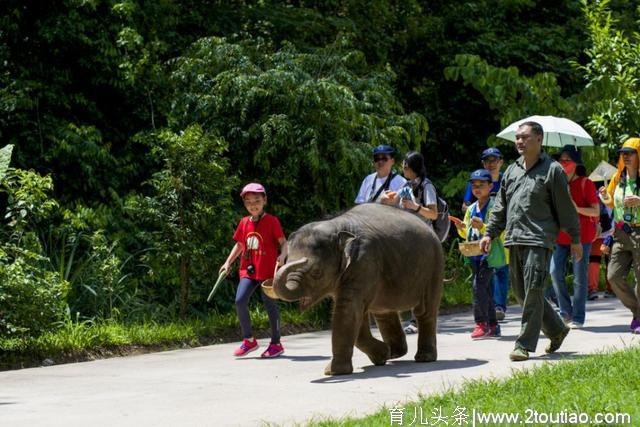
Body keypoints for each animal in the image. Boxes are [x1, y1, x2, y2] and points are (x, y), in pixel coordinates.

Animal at [272, 204, 442, 374]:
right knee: (383, 311)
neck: (337, 225)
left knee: (425, 311)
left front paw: (333, 372)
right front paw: (382, 355)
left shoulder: (364, 263)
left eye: (316, 273)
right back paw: (394, 353)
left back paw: (423, 358)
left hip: (434, 268)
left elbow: (348, 311)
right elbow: (356, 315)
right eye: (287, 260)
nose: (280, 261)